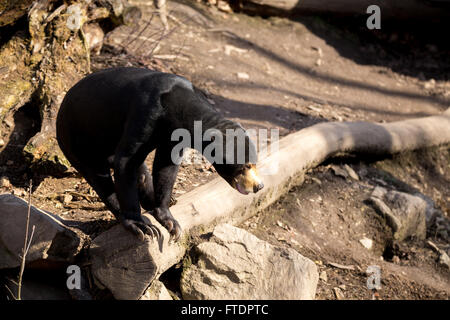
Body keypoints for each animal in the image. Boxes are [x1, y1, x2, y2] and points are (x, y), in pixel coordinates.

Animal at [58, 67, 266, 241]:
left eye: (255, 164)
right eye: (244, 167)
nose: (259, 186)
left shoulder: (173, 137)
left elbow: (166, 167)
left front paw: (169, 220)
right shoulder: (144, 114)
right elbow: (126, 161)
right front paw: (140, 226)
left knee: (140, 174)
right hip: (76, 141)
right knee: (101, 179)